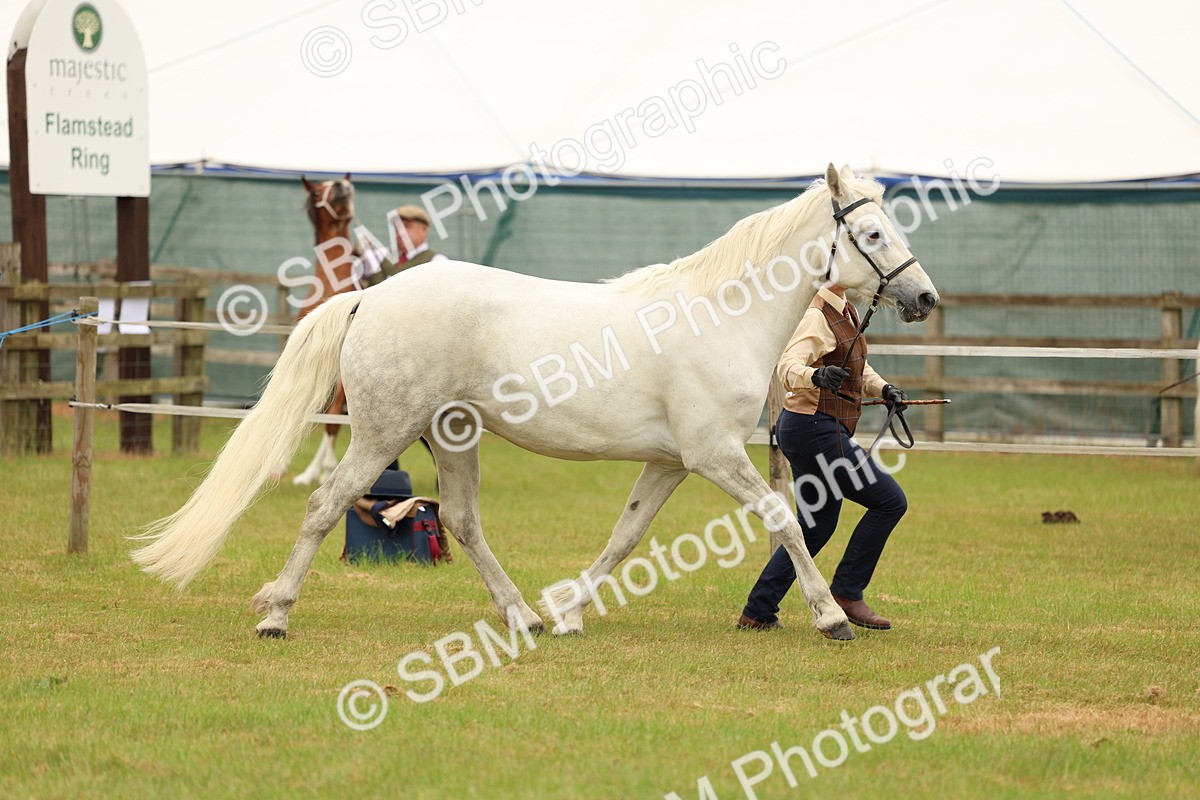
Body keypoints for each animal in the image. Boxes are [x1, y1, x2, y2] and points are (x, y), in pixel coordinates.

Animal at [132, 164, 939, 642]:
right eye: (872, 232)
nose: (924, 296)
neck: (719, 317)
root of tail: (370, 297)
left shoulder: (671, 462)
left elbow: (625, 535)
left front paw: (570, 613)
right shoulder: (713, 455)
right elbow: (783, 520)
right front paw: (831, 617)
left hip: (452, 435)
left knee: (460, 520)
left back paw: (521, 614)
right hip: (381, 433)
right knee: (325, 505)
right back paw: (276, 614)